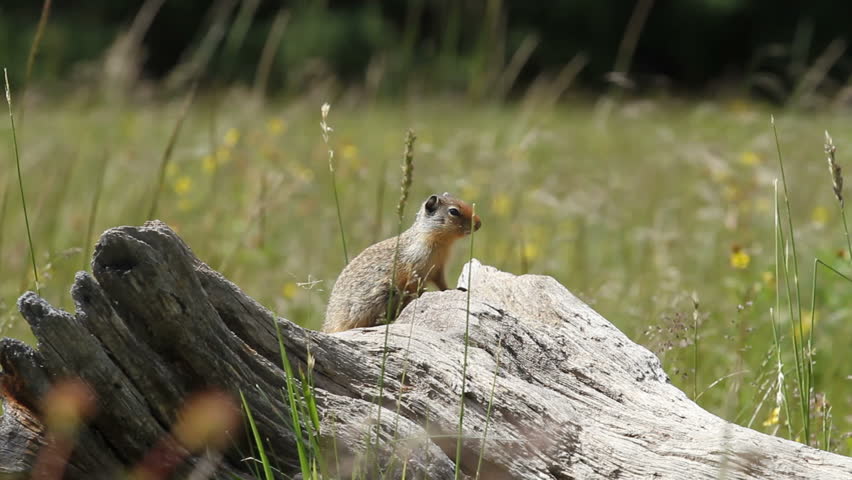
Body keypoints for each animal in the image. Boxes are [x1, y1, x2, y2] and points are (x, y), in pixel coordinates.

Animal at [323, 192, 481, 333]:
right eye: (454, 211)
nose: (479, 224)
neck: (440, 243)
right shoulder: (415, 265)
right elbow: (415, 283)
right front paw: (423, 295)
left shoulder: (438, 268)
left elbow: (441, 282)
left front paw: (453, 289)